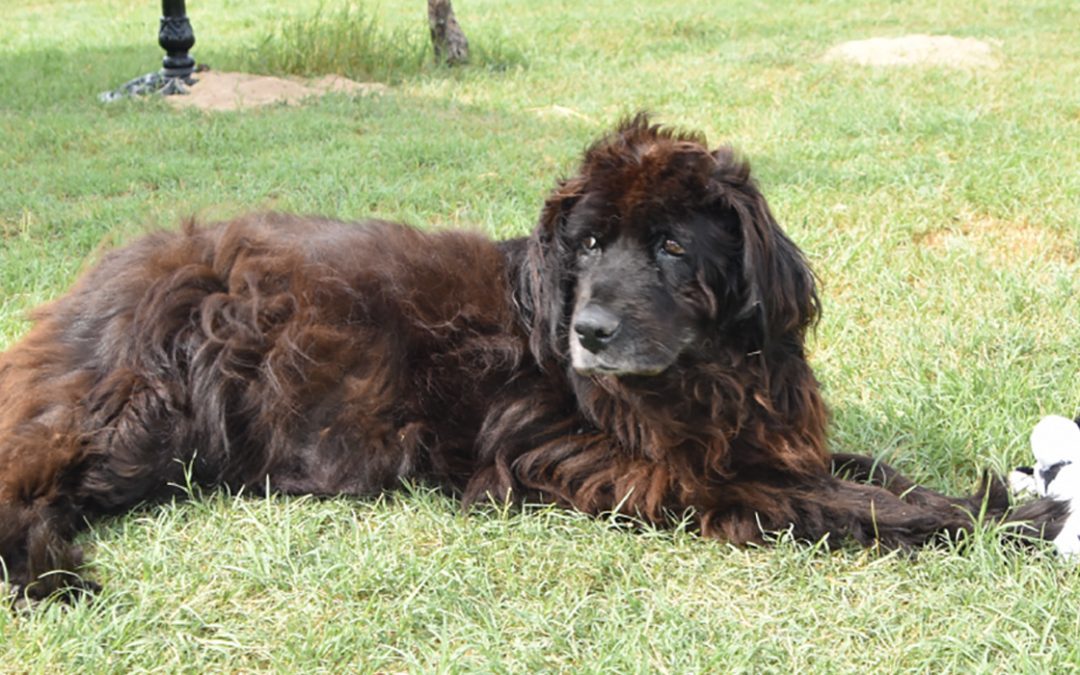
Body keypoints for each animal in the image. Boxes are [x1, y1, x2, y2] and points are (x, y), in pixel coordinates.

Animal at [0, 115, 1062, 600]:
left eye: (672, 246)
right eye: (587, 244)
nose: (588, 333)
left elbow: (865, 470)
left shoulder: (753, 434)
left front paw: (996, 490)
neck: (703, 372)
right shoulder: (652, 470)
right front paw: (1013, 517)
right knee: (29, 478)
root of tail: (109, 272)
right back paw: (49, 572)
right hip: (146, 410)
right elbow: (849, 504)